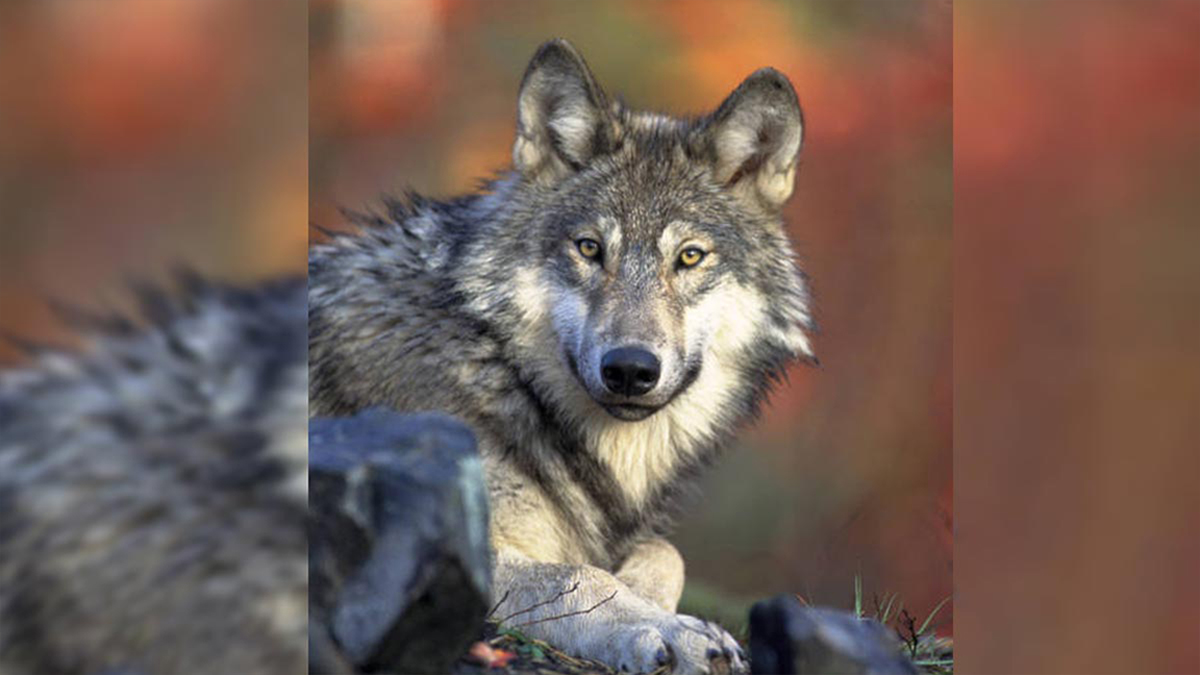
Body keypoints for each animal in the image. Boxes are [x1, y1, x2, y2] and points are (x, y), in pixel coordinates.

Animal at [309, 39, 814, 675]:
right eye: (590, 249)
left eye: (690, 257)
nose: (630, 369)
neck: (500, 370)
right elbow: (579, 576)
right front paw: (668, 629)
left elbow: (663, 551)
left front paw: (650, 600)